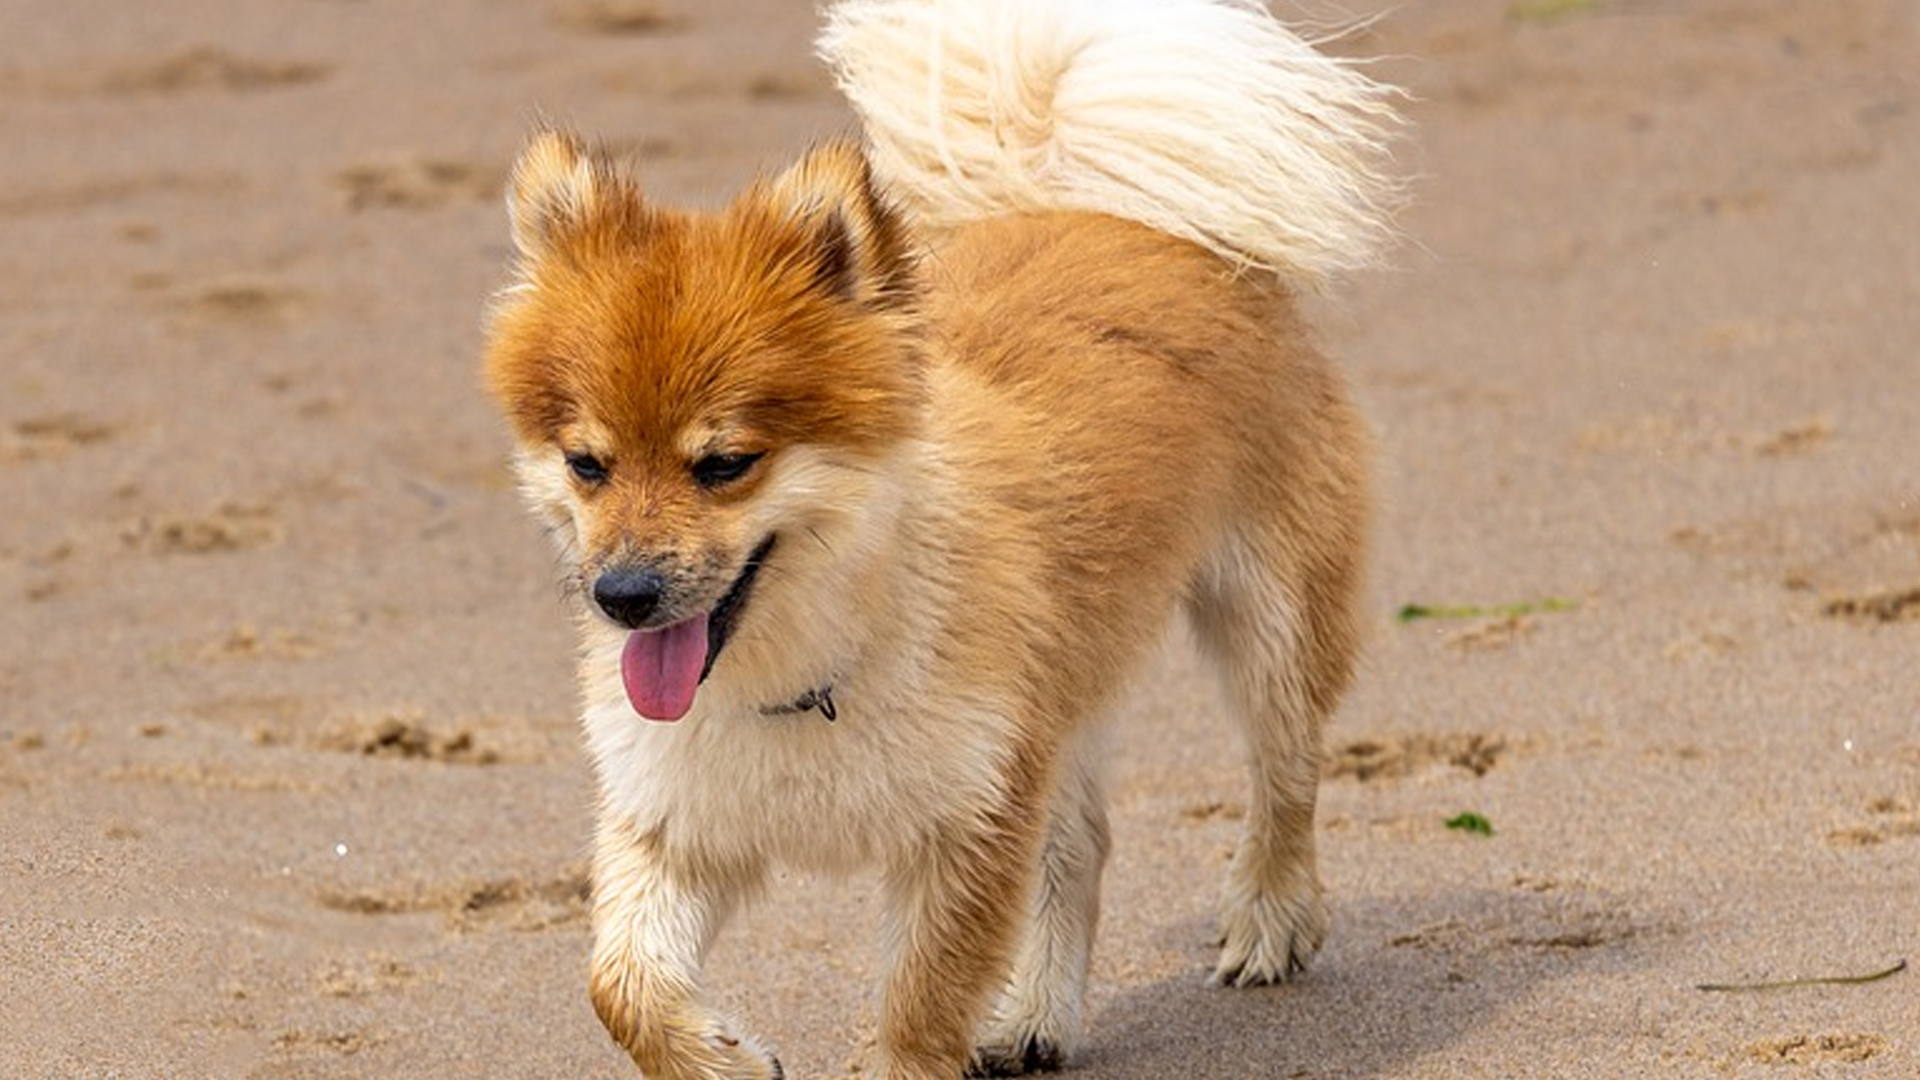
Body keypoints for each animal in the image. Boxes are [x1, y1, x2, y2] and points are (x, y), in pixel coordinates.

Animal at [487, 2, 1405, 1076]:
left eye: (724, 464)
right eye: (587, 464)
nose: (622, 597)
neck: (811, 667)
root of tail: (1119, 216)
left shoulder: (969, 821)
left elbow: (919, 1010)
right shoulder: (679, 818)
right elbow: (622, 985)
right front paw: (726, 1055)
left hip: (1267, 618)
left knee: (1284, 767)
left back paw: (1269, 917)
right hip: (1064, 695)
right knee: (1083, 846)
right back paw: (1036, 1013)